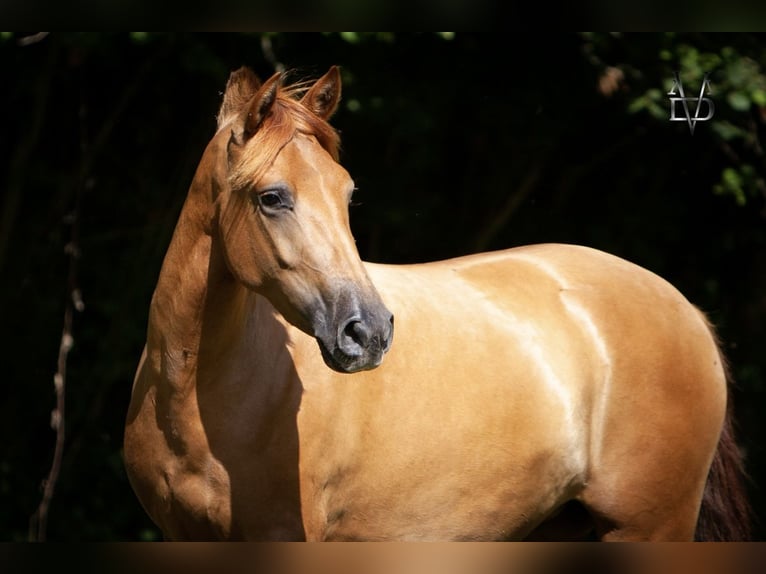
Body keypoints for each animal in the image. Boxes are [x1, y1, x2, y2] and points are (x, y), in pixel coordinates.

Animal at [124, 65, 751, 541]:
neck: (198, 393)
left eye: (347, 193)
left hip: (649, 528)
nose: (368, 333)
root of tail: (686, 310)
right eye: (272, 197)